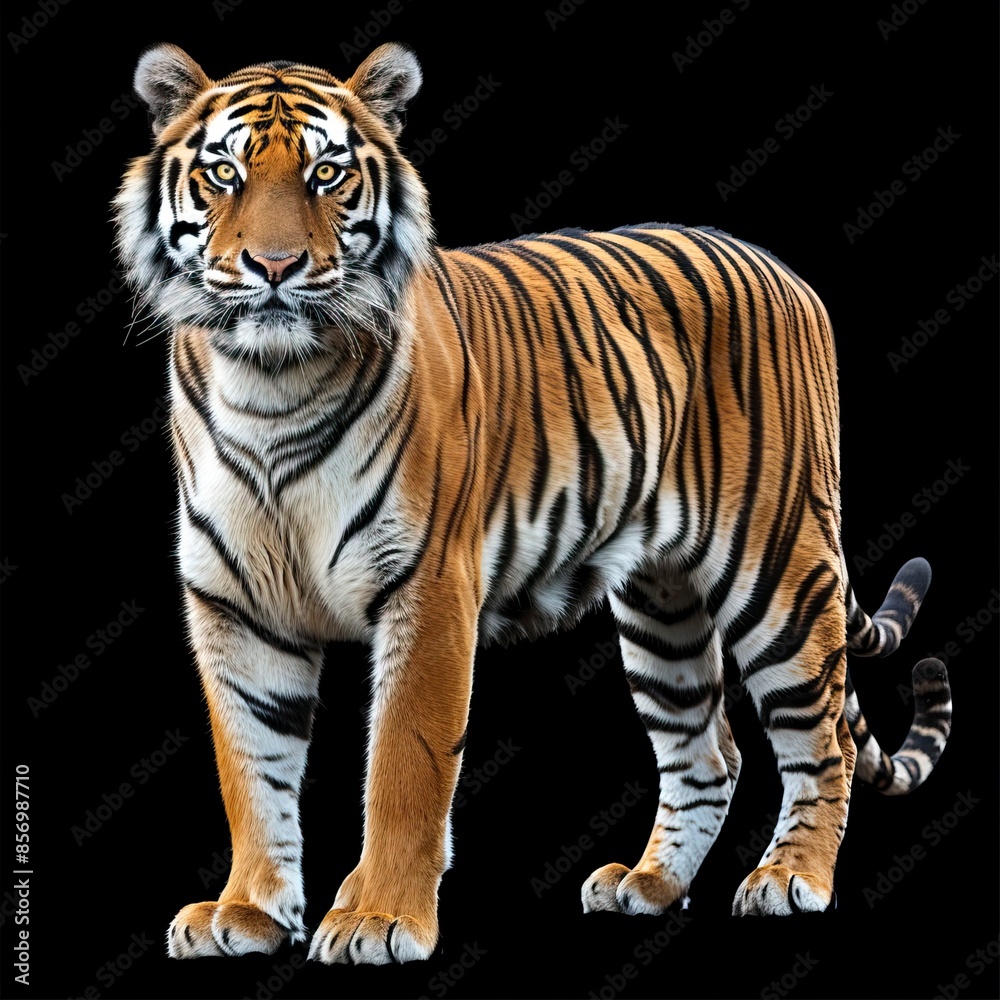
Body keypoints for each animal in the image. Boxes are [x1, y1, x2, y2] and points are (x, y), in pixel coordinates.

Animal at [113, 41, 954, 964]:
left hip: (778, 565)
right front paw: (249, 912)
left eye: (326, 173)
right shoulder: (234, 605)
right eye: (223, 174)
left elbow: (404, 767)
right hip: (662, 602)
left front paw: (379, 919)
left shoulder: (427, 587)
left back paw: (792, 878)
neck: (268, 386)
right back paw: (647, 885)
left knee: (820, 735)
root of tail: (784, 269)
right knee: (708, 752)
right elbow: (249, 771)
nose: (273, 268)